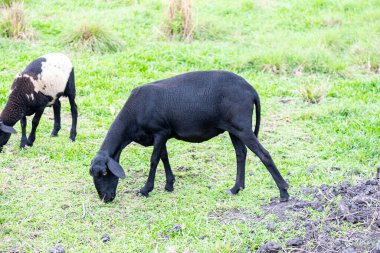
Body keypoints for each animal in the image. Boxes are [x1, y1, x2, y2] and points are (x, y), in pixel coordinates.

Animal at [90, 70, 288, 203]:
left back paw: (284, 192)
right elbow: (164, 157)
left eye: (105, 173)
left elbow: (154, 160)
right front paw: (169, 185)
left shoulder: (160, 131)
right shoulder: (164, 133)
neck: (132, 119)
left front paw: (146, 189)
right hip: (234, 129)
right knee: (241, 154)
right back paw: (235, 188)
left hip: (242, 126)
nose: (105, 198)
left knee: (264, 154)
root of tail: (251, 90)